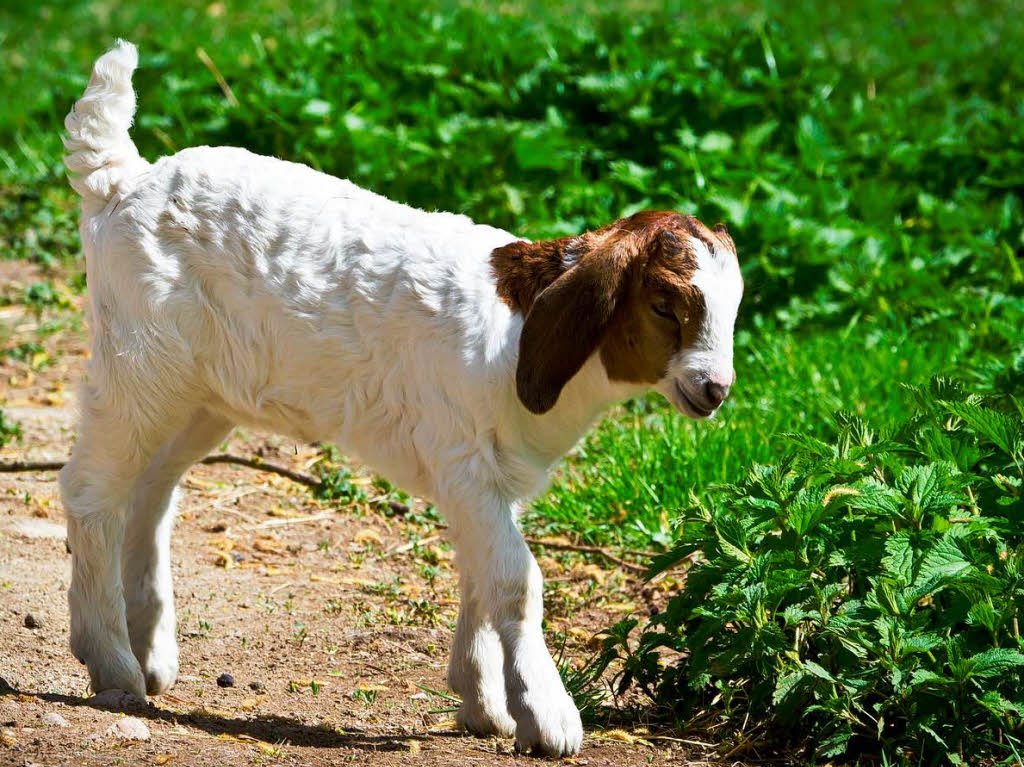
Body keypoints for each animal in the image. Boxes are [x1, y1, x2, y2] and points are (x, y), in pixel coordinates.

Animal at [59, 41, 741, 753]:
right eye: (663, 303)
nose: (715, 389)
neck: (520, 326)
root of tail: (123, 180)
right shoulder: (465, 460)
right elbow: (514, 580)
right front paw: (549, 717)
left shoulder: (489, 481)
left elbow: (480, 575)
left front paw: (483, 703)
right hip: (138, 361)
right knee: (92, 492)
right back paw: (113, 665)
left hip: (199, 394)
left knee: (150, 491)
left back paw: (150, 652)